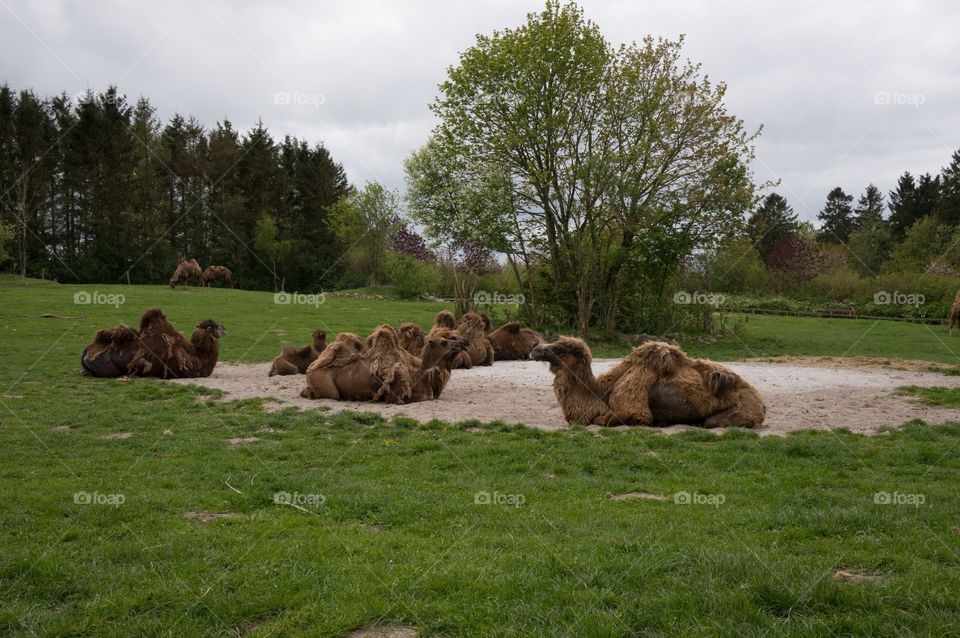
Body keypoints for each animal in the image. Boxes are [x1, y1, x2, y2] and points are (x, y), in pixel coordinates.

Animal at [301, 327, 466, 404]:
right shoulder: (396, 394)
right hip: (325, 382)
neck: (418, 374)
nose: (461, 343)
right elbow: (422, 398)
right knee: (330, 395)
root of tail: (310, 369)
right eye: (444, 342)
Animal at [530, 338, 765, 428]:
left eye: (560, 348)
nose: (535, 349)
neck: (600, 392)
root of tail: (761, 404)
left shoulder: (635, 410)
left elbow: (604, 420)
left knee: (712, 422)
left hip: (738, 413)